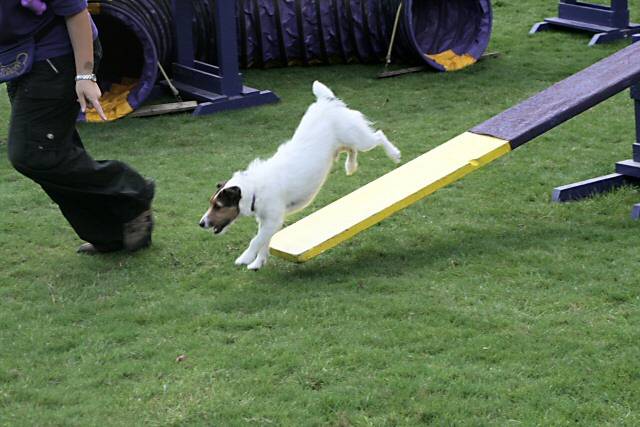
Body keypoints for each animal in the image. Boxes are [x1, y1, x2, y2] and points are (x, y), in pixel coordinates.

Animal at [199, 81, 400, 270]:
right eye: (211, 204)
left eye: (218, 206)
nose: (201, 224)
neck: (254, 188)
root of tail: (325, 101)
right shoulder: (267, 221)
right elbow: (264, 242)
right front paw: (258, 262)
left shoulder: (272, 220)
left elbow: (256, 240)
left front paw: (245, 257)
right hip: (343, 143)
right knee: (351, 149)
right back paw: (350, 166)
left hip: (359, 138)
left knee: (378, 136)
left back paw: (394, 154)